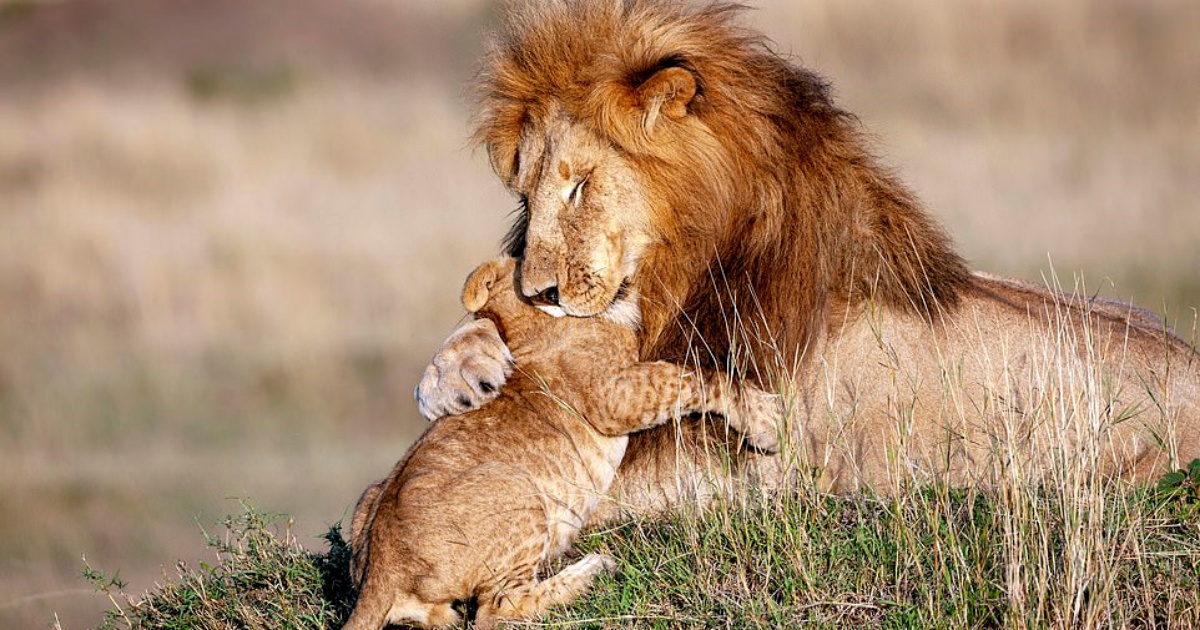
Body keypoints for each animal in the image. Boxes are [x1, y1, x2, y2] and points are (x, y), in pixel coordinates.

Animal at [415, 1, 1200, 511]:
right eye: (526, 192)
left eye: (579, 185)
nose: (540, 289)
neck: (685, 269)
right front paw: (455, 375)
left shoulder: (752, 468)